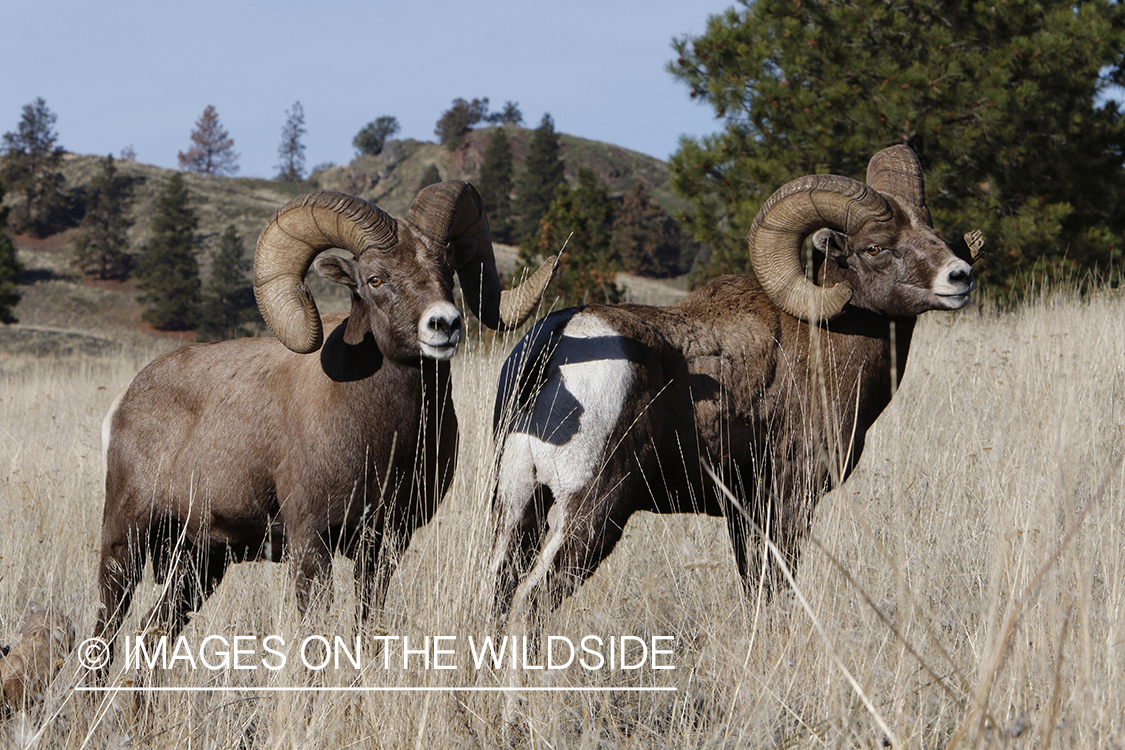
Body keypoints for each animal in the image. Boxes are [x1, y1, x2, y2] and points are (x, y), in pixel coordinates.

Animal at [92, 182, 558, 652]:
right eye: (374, 279)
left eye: (448, 270)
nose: (444, 324)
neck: (385, 437)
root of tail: (125, 402)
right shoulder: (310, 541)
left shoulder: (384, 545)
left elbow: (367, 625)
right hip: (124, 544)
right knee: (107, 627)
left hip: (201, 564)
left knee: (153, 630)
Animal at [490, 145, 976, 629]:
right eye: (875, 247)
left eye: (932, 234)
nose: (961, 276)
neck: (823, 342)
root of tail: (558, 340)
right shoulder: (788, 500)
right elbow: (774, 587)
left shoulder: (744, 513)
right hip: (592, 510)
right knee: (532, 601)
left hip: (517, 508)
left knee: (497, 593)